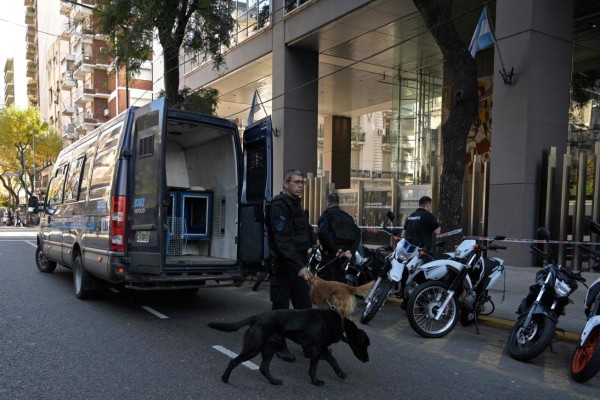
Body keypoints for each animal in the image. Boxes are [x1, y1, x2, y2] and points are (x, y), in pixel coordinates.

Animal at [211, 308, 370, 386]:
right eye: (366, 344)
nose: (368, 360)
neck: (341, 325)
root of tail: (256, 317)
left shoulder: (322, 348)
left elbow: (333, 361)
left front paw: (341, 374)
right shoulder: (317, 349)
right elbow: (314, 368)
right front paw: (315, 382)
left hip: (269, 347)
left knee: (263, 368)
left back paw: (274, 381)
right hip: (253, 348)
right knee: (234, 361)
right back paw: (225, 378)